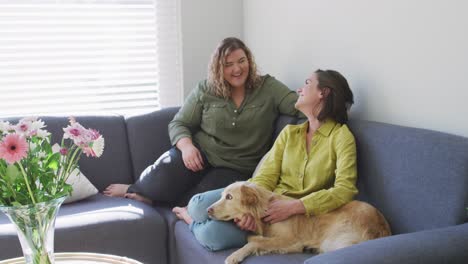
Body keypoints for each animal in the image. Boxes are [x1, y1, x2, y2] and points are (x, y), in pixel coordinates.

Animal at [208, 183, 392, 262]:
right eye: (222, 195)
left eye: (229, 197)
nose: (208, 210)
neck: (265, 210)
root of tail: (383, 228)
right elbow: (255, 239)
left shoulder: (290, 240)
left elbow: (253, 242)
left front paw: (235, 255)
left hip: (333, 239)